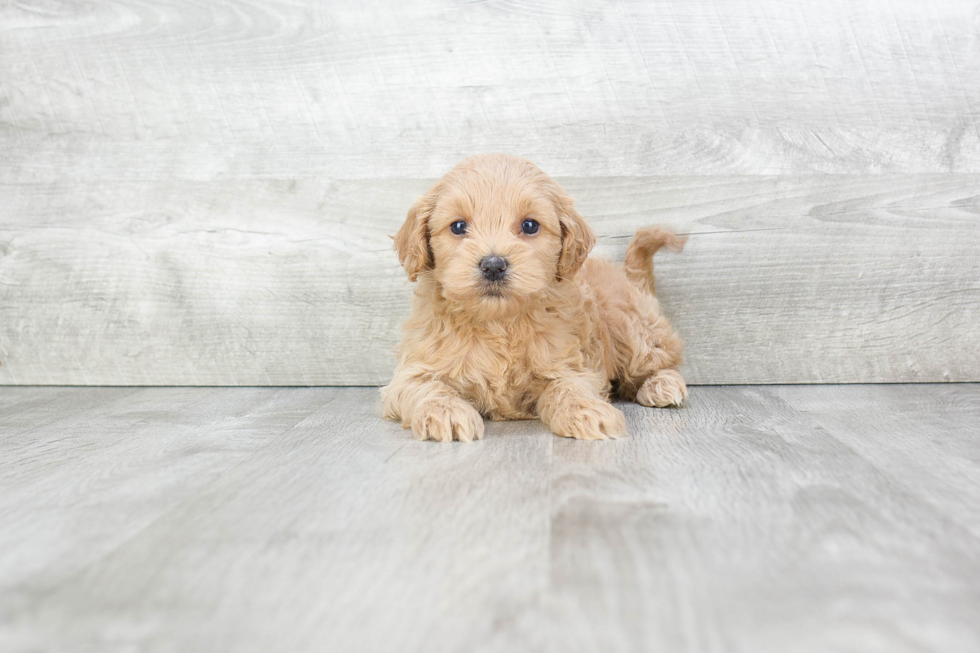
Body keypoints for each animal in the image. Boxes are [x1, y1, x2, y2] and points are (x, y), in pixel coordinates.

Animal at [378, 153, 684, 440]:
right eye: (458, 227)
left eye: (529, 226)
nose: (493, 265)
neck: (498, 322)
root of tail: (628, 274)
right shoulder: (410, 373)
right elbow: (426, 388)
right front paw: (446, 413)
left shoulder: (569, 364)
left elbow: (570, 387)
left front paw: (587, 411)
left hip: (632, 329)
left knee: (659, 363)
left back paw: (662, 385)